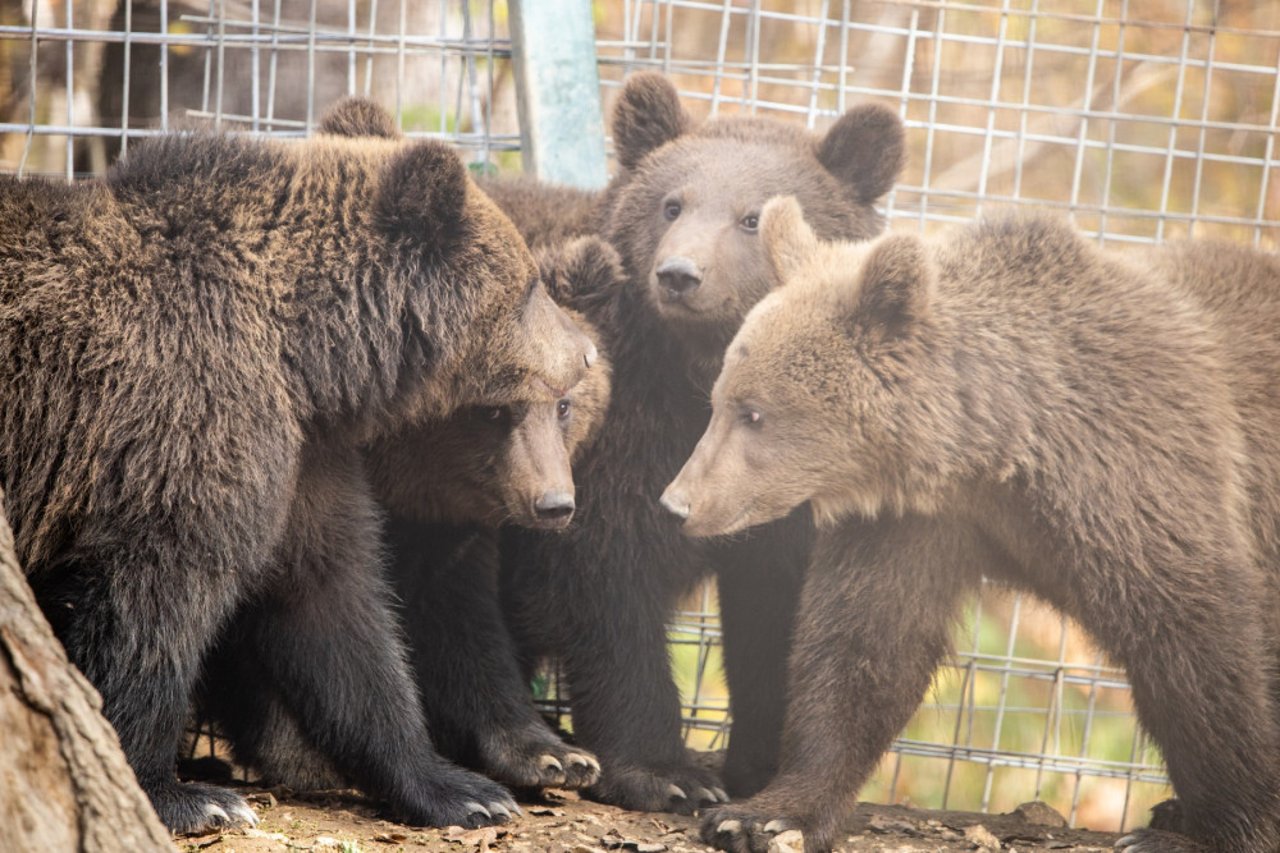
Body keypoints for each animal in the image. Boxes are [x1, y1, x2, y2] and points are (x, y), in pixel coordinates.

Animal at [0, 111, 596, 829]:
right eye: (530, 283)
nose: (584, 352)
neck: (307, 351)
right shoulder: (186, 419)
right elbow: (152, 599)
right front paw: (180, 792)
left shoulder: (304, 459)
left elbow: (336, 603)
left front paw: (462, 788)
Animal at [494, 69, 906, 809]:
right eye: (671, 204)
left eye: (752, 217)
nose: (680, 273)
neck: (696, 380)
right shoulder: (607, 454)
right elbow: (608, 588)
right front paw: (666, 771)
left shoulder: (784, 491)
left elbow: (773, 611)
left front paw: (761, 763)